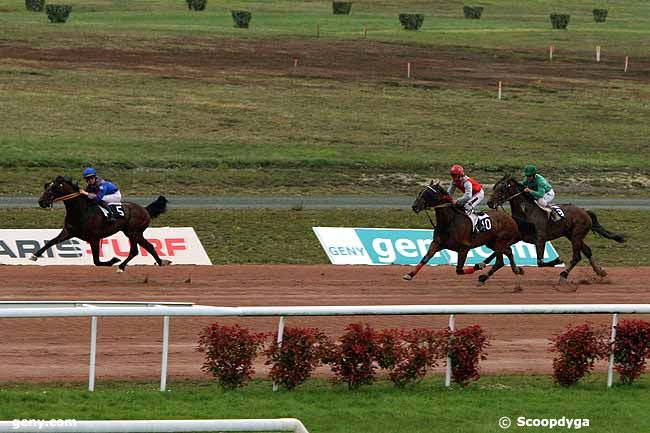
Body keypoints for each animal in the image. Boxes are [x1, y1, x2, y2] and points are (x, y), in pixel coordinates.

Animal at [33, 175, 171, 270]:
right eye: (47, 186)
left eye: (53, 188)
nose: (41, 202)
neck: (81, 211)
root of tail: (145, 209)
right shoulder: (68, 232)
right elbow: (51, 242)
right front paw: (34, 255)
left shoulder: (94, 238)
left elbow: (97, 261)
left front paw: (113, 260)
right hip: (133, 233)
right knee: (148, 247)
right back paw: (160, 262)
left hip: (133, 232)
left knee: (135, 251)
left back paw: (121, 266)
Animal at [486, 175, 624, 280]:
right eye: (494, 188)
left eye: (501, 190)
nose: (489, 203)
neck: (526, 212)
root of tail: (585, 211)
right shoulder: (517, 237)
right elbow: (497, 251)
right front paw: (483, 263)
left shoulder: (540, 239)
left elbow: (540, 262)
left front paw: (557, 261)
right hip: (572, 236)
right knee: (587, 251)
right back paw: (600, 271)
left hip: (576, 235)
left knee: (576, 257)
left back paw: (564, 274)